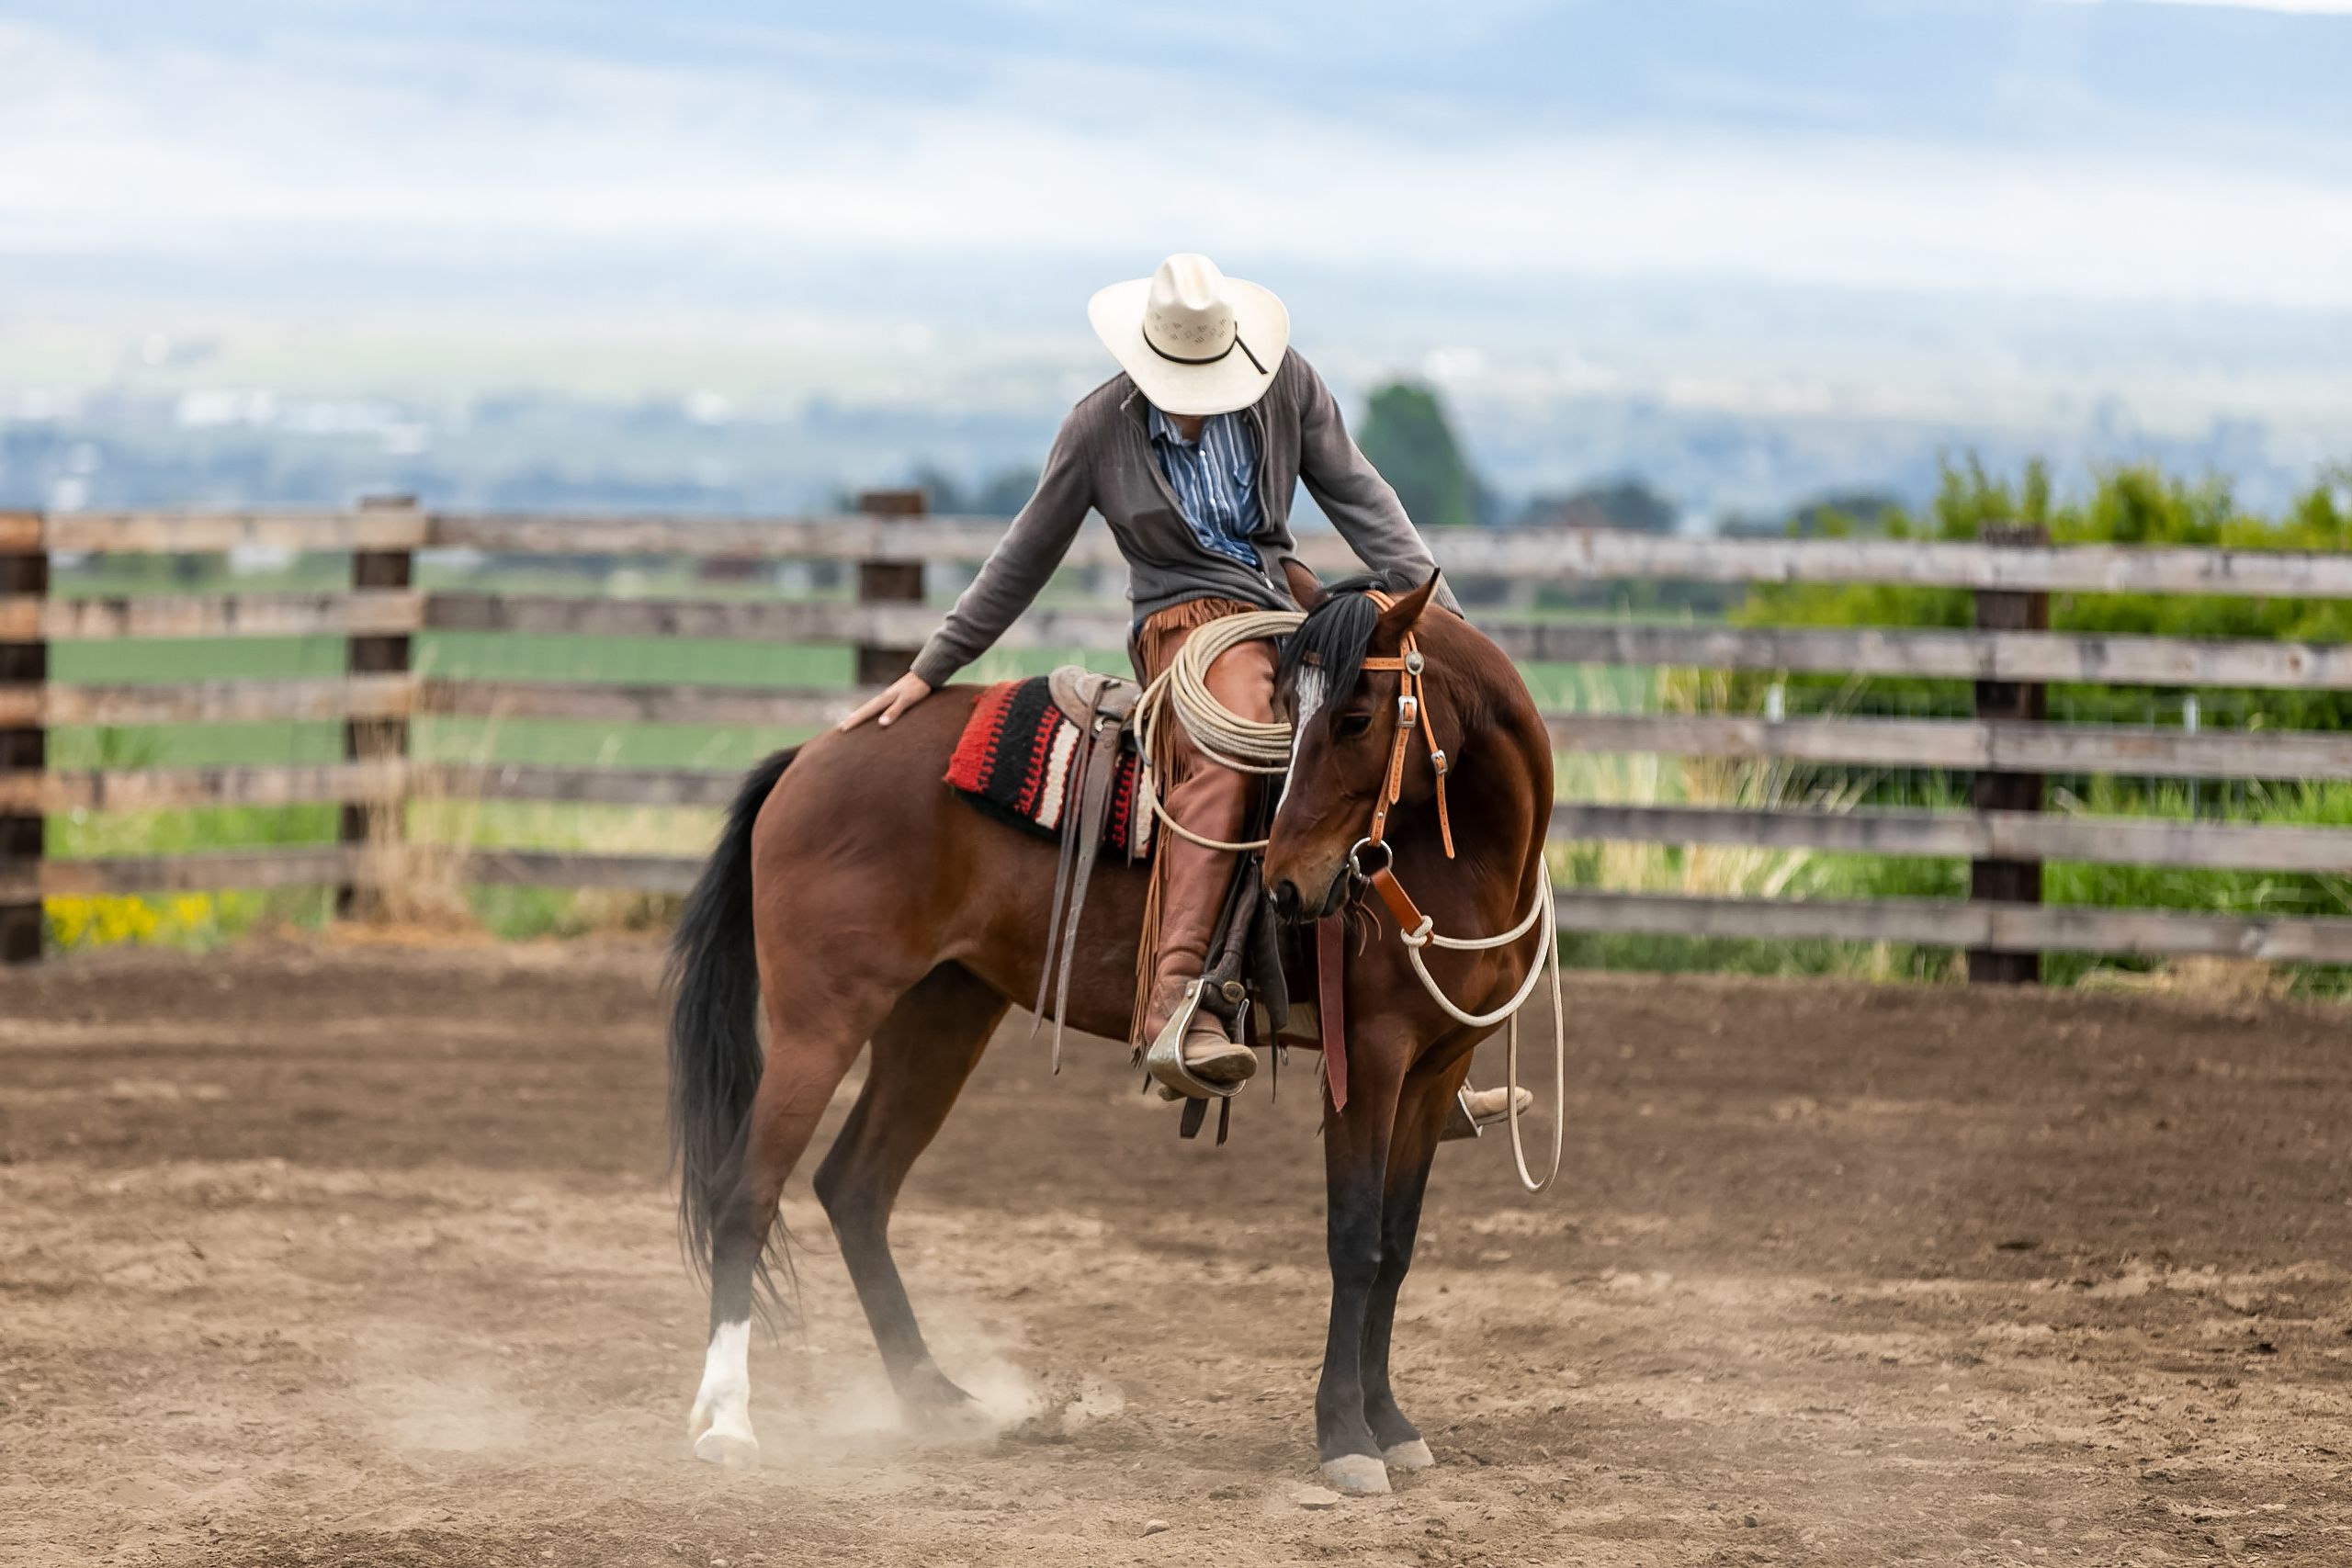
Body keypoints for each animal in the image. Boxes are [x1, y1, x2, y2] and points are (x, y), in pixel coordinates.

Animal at [673, 564, 1552, 1495]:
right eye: (1290, 709)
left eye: (1354, 718)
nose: (1285, 884)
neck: (1465, 856)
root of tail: (810, 756)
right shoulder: (1370, 1061)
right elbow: (1353, 1241)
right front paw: (1345, 1435)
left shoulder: (1436, 1065)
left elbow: (1396, 1241)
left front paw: (1391, 1423)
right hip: (822, 1020)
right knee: (746, 1192)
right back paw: (729, 1420)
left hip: (941, 1016)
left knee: (855, 1184)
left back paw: (935, 1396)